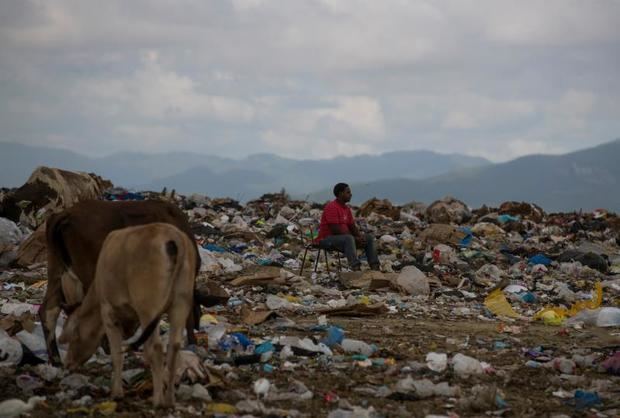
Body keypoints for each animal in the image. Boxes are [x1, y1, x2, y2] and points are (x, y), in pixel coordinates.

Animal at [58, 224, 195, 406]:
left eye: (74, 335)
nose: (67, 363)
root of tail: (174, 236)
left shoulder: (108, 311)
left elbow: (117, 355)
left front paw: (116, 393)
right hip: (181, 302)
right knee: (174, 346)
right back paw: (170, 399)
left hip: (148, 307)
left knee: (156, 348)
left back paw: (157, 400)